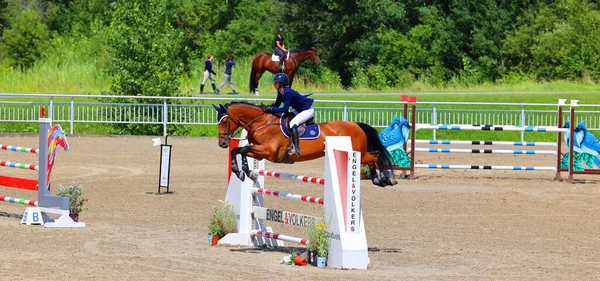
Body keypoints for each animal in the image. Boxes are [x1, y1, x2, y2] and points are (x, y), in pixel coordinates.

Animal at [212, 100, 398, 186]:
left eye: (224, 121)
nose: (222, 143)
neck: (262, 123)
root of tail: (356, 125)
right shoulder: (259, 151)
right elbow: (238, 151)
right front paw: (243, 172)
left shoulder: (268, 151)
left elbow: (242, 150)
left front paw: (244, 171)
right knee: (374, 156)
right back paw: (378, 180)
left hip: (357, 153)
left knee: (376, 155)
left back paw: (384, 179)